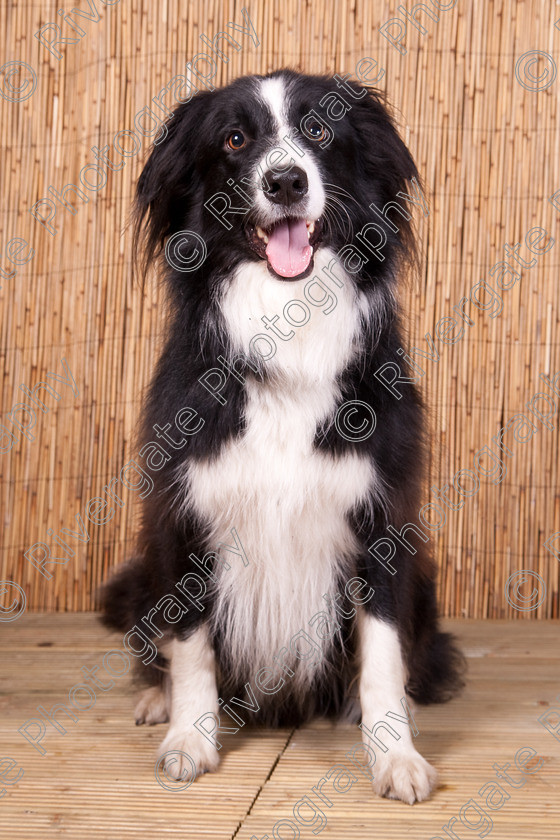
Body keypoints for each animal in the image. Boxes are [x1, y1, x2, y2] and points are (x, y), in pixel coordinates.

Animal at [99, 69, 464, 804]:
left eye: (319, 130)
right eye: (235, 139)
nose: (287, 181)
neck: (287, 328)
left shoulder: (382, 523)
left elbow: (383, 658)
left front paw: (395, 755)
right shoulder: (185, 518)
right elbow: (192, 648)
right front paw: (189, 738)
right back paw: (155, 699)